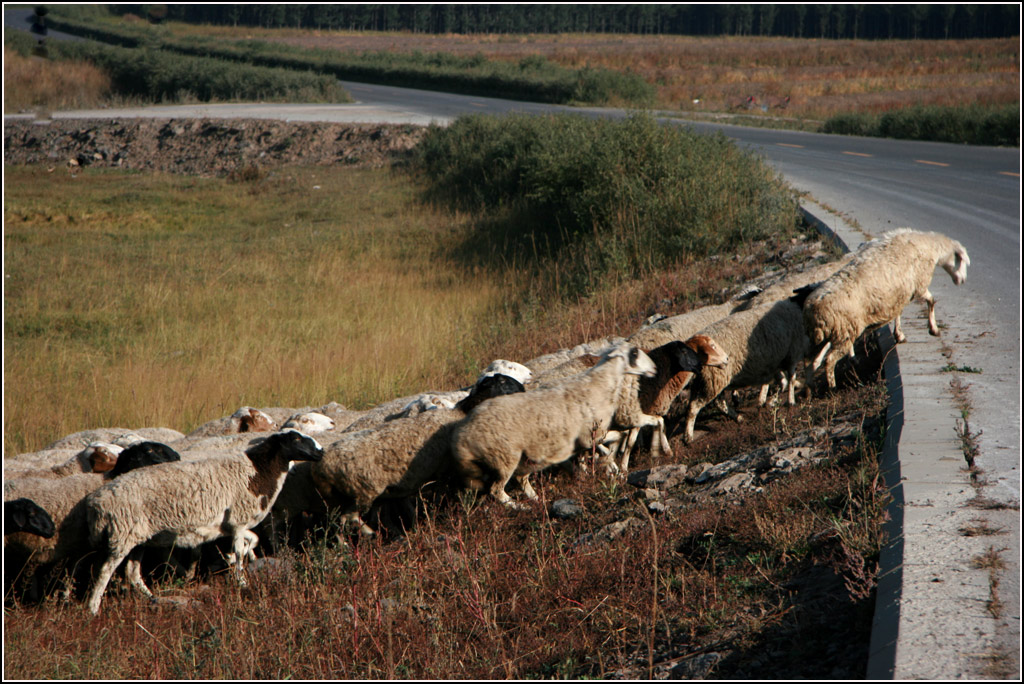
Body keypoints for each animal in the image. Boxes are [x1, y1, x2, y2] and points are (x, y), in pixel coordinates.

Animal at [84, 428, 323, 614]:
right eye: (296, 438)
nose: (321, 451)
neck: (256, 472)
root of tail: (97, 505)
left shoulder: (231, 524)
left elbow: (252, 540)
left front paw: (232, 559)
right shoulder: (238, 519)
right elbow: (240, 548)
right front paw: (241, 581)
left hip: (138, 538)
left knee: (132, 573)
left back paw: (153, 598)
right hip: (121, 535)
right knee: (105, 572)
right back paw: (93, 608)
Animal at [452, 344, 659, 505]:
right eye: (634, 353)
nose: (654, 369)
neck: (599, 383)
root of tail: (464, 435)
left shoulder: (586, 438)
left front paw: (610, 464)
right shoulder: (590, 434)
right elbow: (616, 439)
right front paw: (612, 462)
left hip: (523, 457)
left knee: (519, 480)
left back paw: (536, 500)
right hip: (505, 457)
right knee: (497, 490)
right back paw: (520, 506)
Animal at [684, 292, 811, 446]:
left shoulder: (774, 361)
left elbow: (780, 381)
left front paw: (767, 400)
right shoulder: (791, 352)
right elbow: (790, 378)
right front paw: (790, 401)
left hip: (707, 379)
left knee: (717, 403)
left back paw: (738, 417)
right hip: (714, 377)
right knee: (694, 407)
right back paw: (688, 437)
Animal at [806, 228, 966, 389]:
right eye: (963, 261)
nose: (962, 281)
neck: (929, 247)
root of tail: (814, 309)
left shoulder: (900, 294)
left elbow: (899, 313)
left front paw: (899, 335)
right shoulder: (918, 286)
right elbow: (931, 301)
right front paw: (933, 329)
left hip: (828, 334)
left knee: (810, 362)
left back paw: (808, 386)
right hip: (845, 332)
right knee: (829, 360)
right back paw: (832, 387)